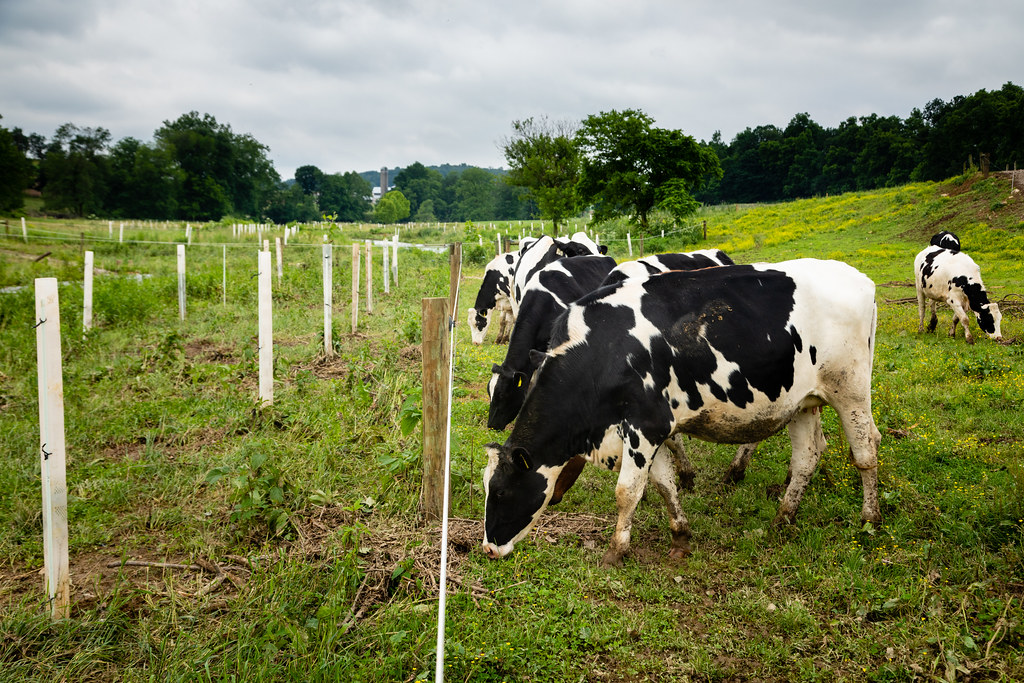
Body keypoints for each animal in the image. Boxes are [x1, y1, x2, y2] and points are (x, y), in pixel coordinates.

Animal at [479, 259, 880, 569]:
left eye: (499, 491)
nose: (488, 548)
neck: (601, 353)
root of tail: (858, 276)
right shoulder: (648, 431)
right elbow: (662, 484)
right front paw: (680, 536)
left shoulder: (646, 426)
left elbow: (627, 491)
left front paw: (614, 552)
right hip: (802, 401)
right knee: (807, 457)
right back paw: (783, 517)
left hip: (851, 391)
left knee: (866, 452)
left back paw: (870, 519)